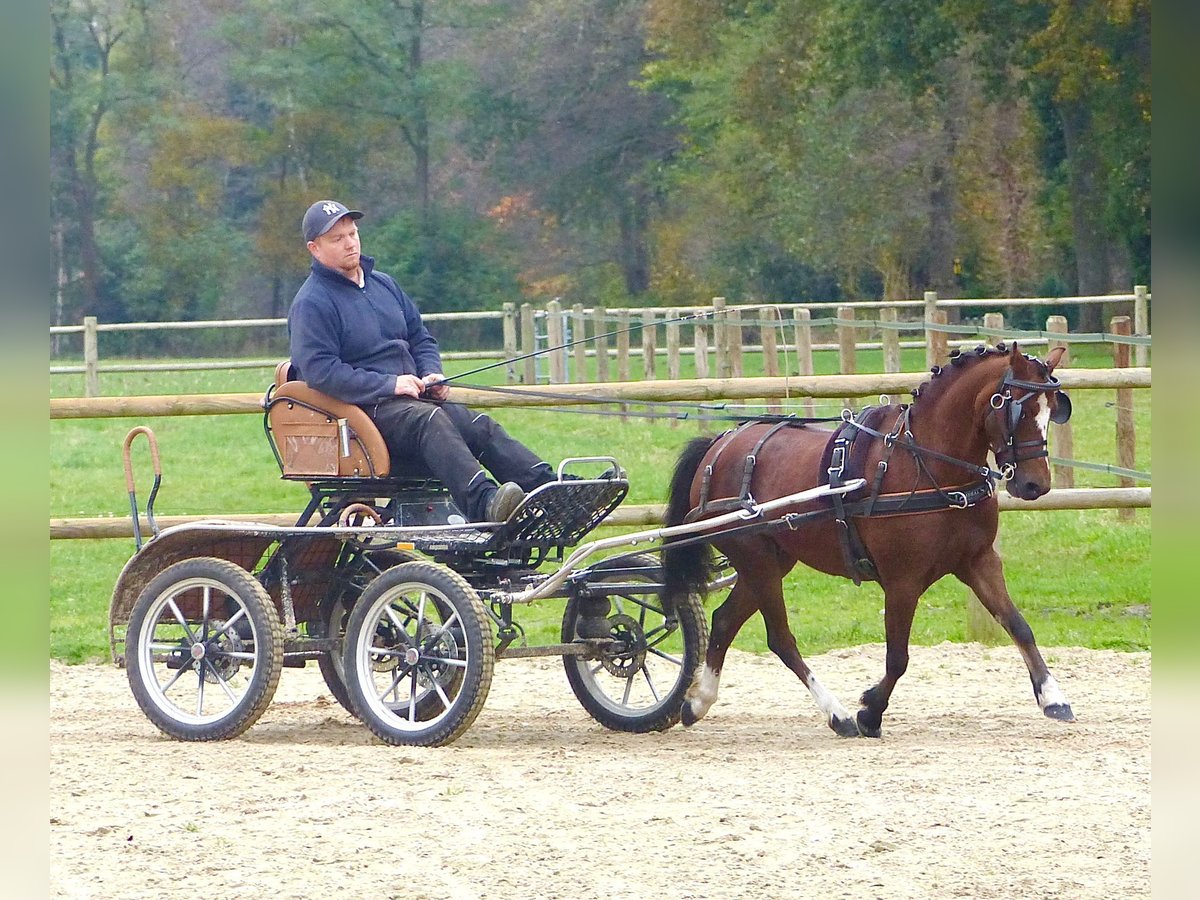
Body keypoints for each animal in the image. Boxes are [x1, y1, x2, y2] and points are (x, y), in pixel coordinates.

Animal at [662, 340, 1075, 734]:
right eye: (1018, 409)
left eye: (1053, 408)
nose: (1036, 485)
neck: (929, 466)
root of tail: (718, 445)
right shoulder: (902, 581)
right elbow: (898, 657)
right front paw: (870, 711)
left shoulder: (979, 561)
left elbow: (1018, 625)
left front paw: (1053, 698)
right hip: (756, 559)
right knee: (780, 637)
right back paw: (838, 714)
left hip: (770, 560)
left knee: (725, 621)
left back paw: (698, 702)